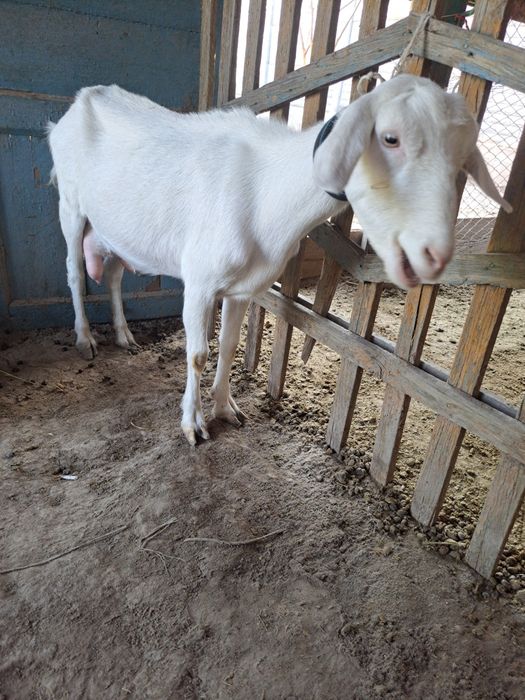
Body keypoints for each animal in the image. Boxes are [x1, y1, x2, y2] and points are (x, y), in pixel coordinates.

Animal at [48, 75, 511, 445]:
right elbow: (197, 354)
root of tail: (79, 101)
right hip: (70, 204)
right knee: (72, 271)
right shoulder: (199, 280)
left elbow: (230, 345)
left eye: (462, 157)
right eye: (390, 138)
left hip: (115, 230)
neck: (267, 191)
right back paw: (85, 339)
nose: (434, 253)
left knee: (112, 275)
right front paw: (192, 425)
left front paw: (226, 409)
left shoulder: (243, 287)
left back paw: (124, 335)